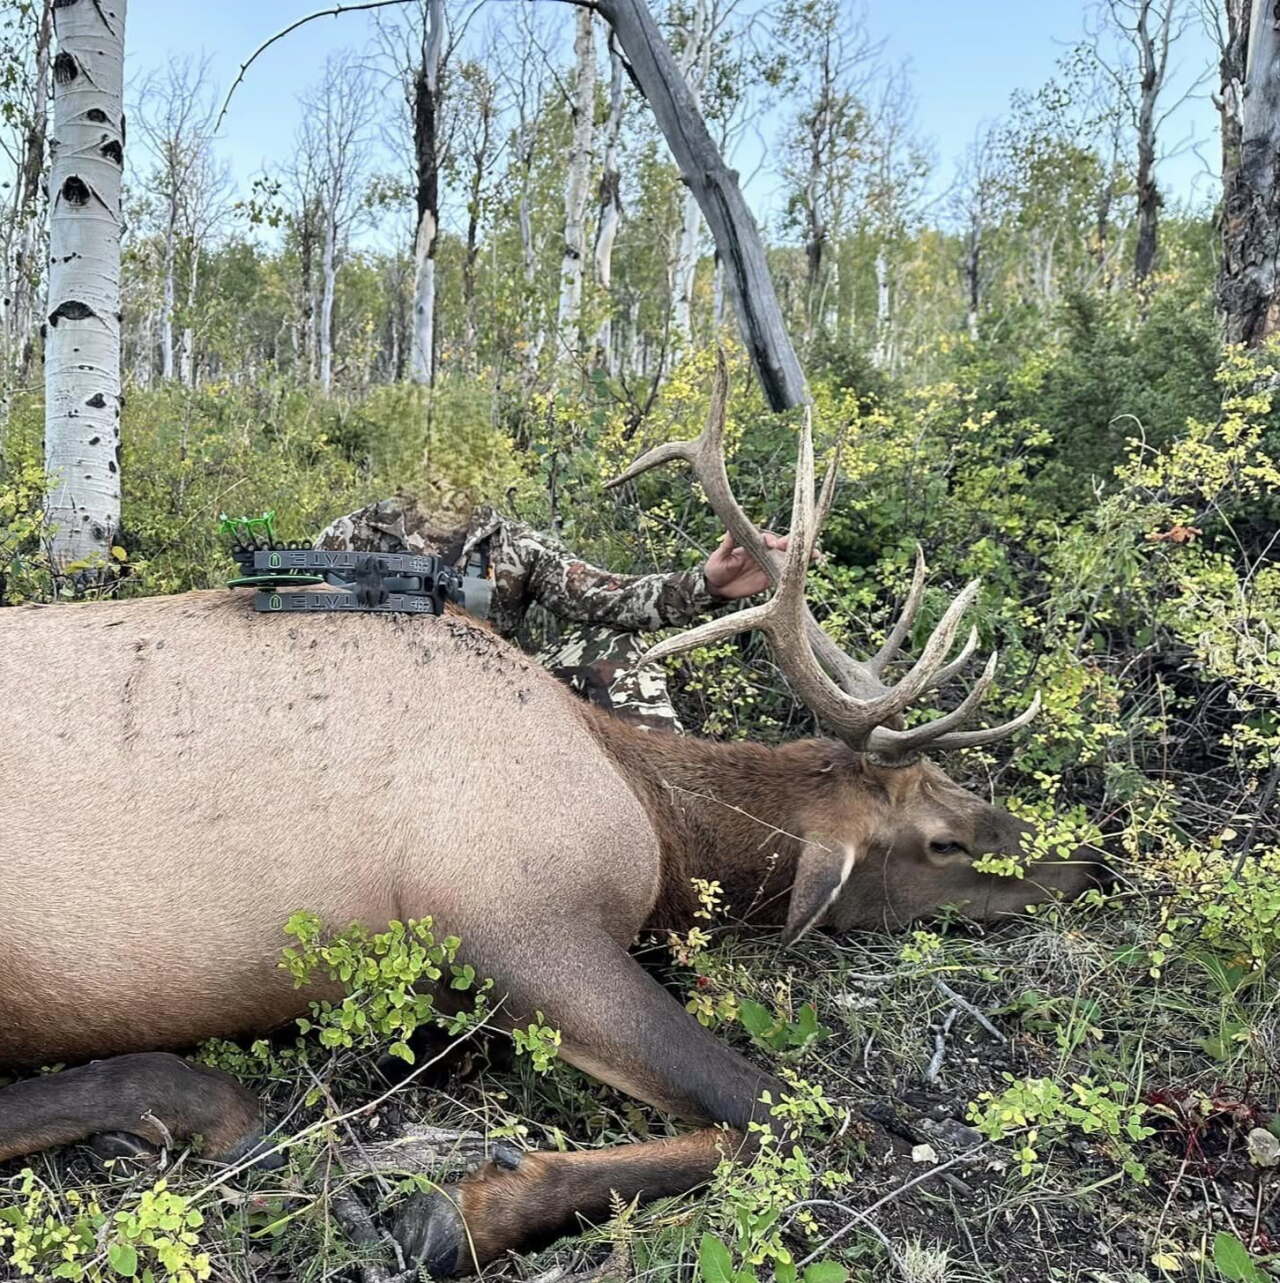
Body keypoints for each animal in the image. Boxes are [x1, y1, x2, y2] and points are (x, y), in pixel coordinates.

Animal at [0, 369, 1101, 1276]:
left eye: (955, 787)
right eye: (940, 841)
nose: (1089, 863)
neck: (658, 824)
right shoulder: (518, 922)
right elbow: (800, 1115)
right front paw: (449, 1209)